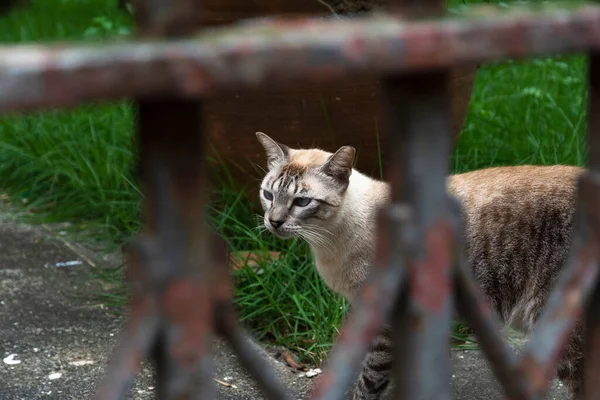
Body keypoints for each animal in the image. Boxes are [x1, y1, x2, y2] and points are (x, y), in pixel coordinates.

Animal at [254, 132, 584, 400]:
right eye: (268, 195)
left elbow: (369, 381)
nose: (274, 221)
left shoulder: (384, 322)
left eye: (302, 202)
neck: (327, 244)